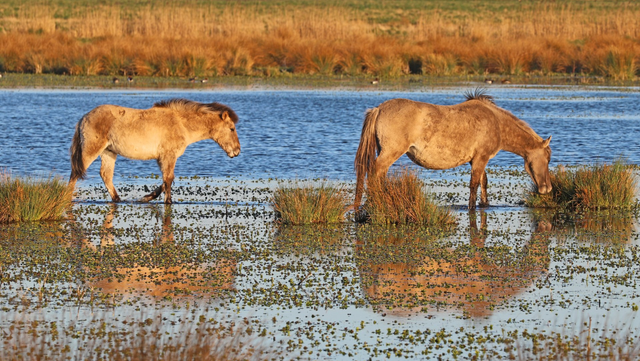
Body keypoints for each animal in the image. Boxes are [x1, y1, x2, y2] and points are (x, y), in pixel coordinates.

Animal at [68, 98, 240, 202]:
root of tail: (83, 117)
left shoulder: (162, 158)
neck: (181, 124)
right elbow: (169, 179)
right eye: (232, 129)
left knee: (105, 175)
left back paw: (118, 199)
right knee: (76, 173)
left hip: (108, 152)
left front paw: (146, 197)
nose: (237, 151)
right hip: (91, 150)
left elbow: (165, 181)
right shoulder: (169, 156)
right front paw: (168, 201)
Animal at [352, 90, 552, 211]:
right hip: (390, 153)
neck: (496, 122)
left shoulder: (478, 159)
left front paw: (485, 204)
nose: (547, 188)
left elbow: (483, 182)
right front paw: (471, 207)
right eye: (548, 158)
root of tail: (378, 109)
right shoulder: (481, 158)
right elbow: (474, 184)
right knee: (376, 171)